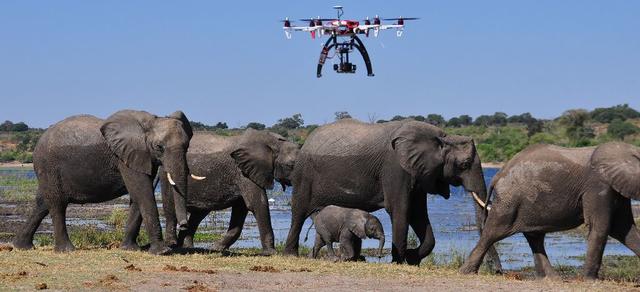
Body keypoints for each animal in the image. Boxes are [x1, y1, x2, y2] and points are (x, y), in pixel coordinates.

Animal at [13, 109, 202, 253]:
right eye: (159, 147)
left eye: (187, 146)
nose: (183, 225)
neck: (150, 122)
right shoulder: (125, 155)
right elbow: (143, 192)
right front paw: (162, 251)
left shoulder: (140, 156)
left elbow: (138, 195)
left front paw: (129, 249)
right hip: (48, 165)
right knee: (57, 203)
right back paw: (66, 250)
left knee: (42, 203)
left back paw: (22, 246)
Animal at [126, 129, 302, 254]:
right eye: (291, 165)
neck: (273, 142)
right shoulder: (243, 173)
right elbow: (257, 204)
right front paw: (271, 252)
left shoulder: (244, 172)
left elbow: (241, 210)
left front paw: (216, 248)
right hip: (167, 173)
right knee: (171, 209)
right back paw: (174, 245)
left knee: (198, 214)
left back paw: (187, 246)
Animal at [280, 117, 496, 266]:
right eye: (464, 164)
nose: (497, 269)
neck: (442, 137)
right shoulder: (395, 168)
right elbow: (401, 210)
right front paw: (399, 261)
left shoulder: (418, 172)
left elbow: (418, 214)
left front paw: (412, 258)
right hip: (304, 174)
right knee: (298, 213)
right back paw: (290, 254)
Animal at [460, 143, 640, 280]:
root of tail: (498, 174)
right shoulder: (599, 186)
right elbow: (601, 227)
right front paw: (589, 280)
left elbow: (624, 229)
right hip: (508, 201)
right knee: (492, 232)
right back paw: (466, 272)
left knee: (534, 237)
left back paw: (551, 278)